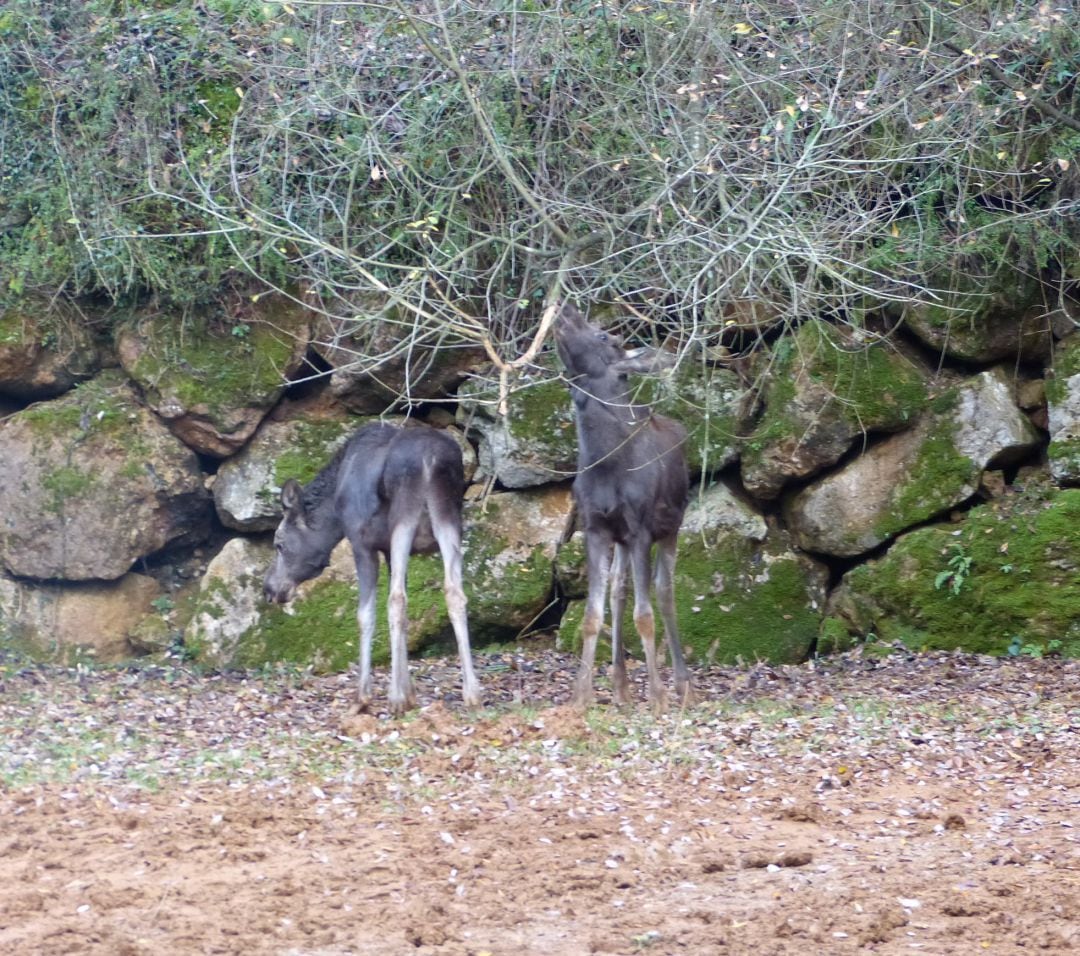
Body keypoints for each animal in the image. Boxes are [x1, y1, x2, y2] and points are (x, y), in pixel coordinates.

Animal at [261, 421, 481, 712]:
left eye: (279, 544)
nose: (269, 588)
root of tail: (431, 460)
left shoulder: (362, 543)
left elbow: (365, 614)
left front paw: (365, 696)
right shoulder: (387, 551)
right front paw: (409, 692)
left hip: (404, 518)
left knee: (397, 599)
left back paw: (395, 698)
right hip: (449, 520)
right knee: (455, 593)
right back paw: (472, 692)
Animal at [552, 302, 695, 712]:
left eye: (604, 335)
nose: (566, 308)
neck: (606, 464)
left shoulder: (641, 530)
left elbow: (644, 615)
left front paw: (659, 696)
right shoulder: (596, 528)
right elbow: (591, 614)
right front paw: (581, 696)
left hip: (671, 527)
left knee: (664, 592)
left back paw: (683, 685)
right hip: (622, 541)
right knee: (619, 590)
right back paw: (620, 686)